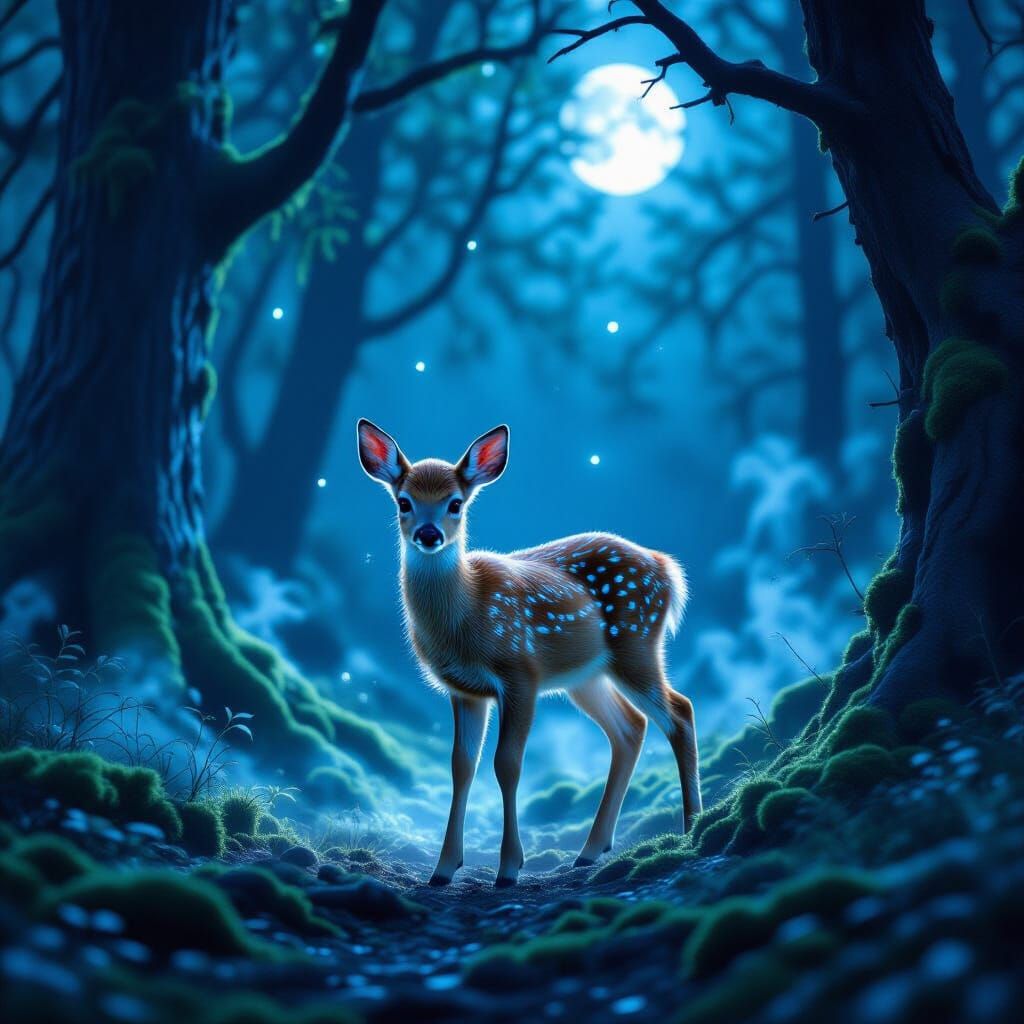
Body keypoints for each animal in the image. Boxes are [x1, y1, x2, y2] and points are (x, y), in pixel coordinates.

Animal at [357, 419, 701, 887]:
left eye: (455, 504)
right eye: (404, 502)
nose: (429, 535)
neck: (466, 615)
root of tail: (667, 568)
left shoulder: (520, 673)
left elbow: (507, 764)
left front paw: (508, 869)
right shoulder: (464, 690)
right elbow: (461, 765)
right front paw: (443, 869)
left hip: (636, 643)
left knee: (680, 711)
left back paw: (692, 827)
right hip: (586, 676)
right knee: (631, 727)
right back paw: (590, 851)